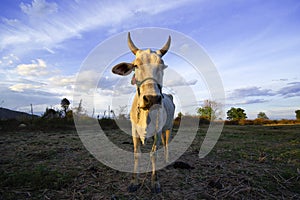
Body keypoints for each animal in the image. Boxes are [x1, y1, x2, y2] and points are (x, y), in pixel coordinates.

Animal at [111, 33, 175, 194]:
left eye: (161, 65)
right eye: (135, 65)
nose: (152, 99)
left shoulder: (157, 131)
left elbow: (154, 154)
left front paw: (155, 182)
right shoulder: (134, 131)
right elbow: (137, 154)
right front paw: (134, 181)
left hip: (168, 127)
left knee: (166, 144)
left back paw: (167, 160)